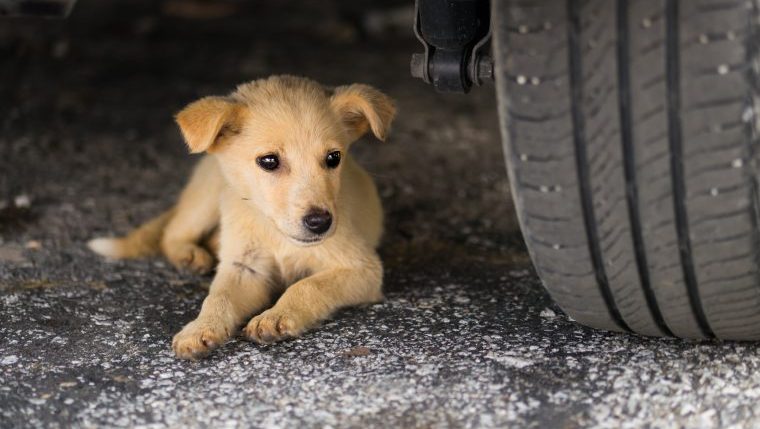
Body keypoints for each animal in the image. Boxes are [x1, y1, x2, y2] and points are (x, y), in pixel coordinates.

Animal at [89, 74, 398, 358]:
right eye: (269, 161)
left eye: (334, 158)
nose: (320, 223)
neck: (276, 232)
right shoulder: (244, 267)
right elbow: (218, 297)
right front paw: (201, 328)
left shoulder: (363, 268)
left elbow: (308, 285)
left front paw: (275, 317)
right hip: (208, 196)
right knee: (173, 233)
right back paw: (189, 255)